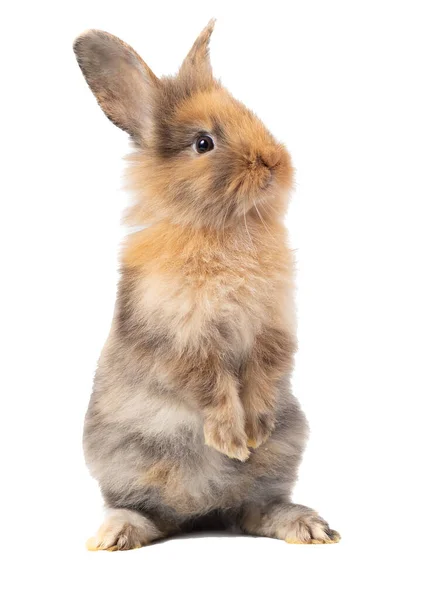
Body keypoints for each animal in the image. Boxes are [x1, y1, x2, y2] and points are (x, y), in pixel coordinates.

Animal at [74, 18, 338, 552]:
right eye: (203, 143)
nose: (273, 162)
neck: (224, 228)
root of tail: (201, 512)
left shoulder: (271, 334)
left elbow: (259, 377)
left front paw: (252, 432)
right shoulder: (184, 339)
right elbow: (211, 386)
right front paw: (231, 440)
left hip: (285, 446)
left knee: (255, 509)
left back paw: (309, 526)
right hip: (126, 457)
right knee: (146, 511)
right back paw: (114, 535)